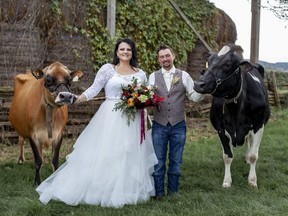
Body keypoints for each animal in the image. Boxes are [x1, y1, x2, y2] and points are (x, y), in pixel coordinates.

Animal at [194, 44, 270, 187]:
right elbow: (227, 156)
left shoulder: (259, 126)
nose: (198, 84)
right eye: (209, 62)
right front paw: (227, 181)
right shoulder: (221, 128)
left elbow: (254, 155)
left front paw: (252, 181)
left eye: (227, 64)